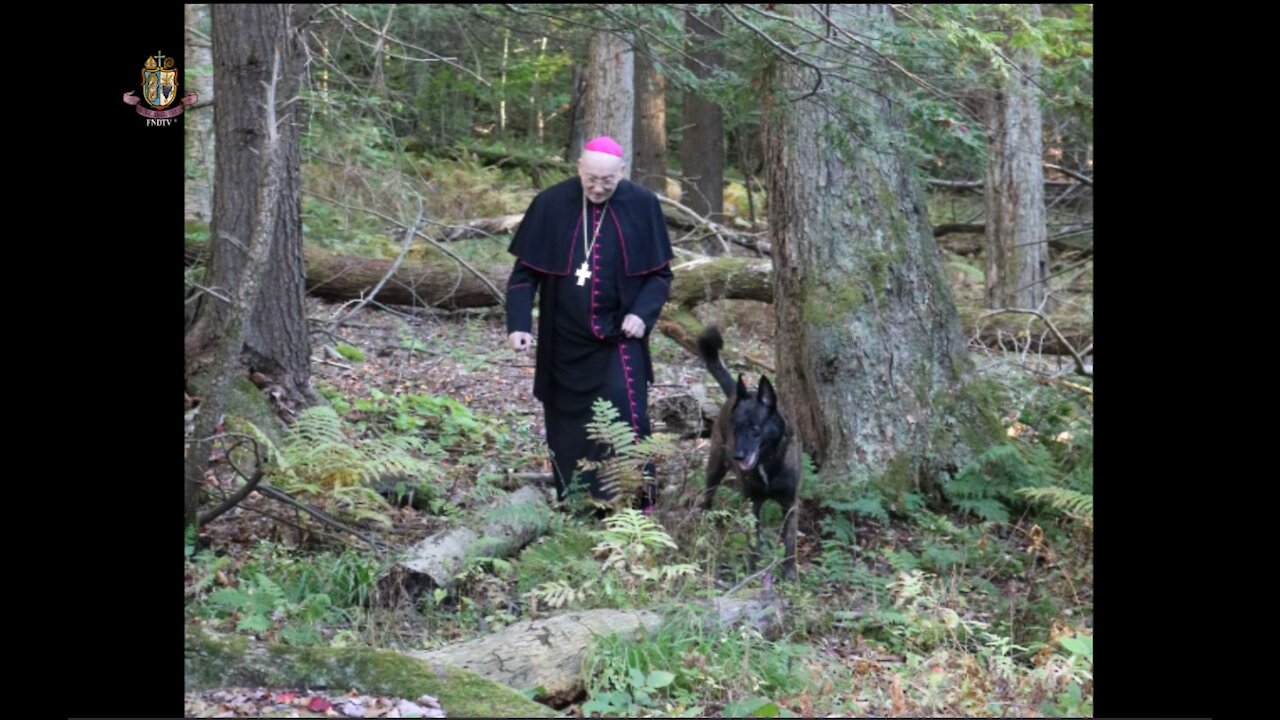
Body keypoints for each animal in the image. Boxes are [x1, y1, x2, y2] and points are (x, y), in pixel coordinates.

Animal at [701, 325, 798, 576]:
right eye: (735, 428)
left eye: (755, 429)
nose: (738, 456)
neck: (768, 461)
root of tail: (735, 394)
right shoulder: (752, 503)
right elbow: (753, 540)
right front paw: (752, 570)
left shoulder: (790, 503)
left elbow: (790, 540)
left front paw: (789, 571)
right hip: (715, 467)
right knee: (707, 496)